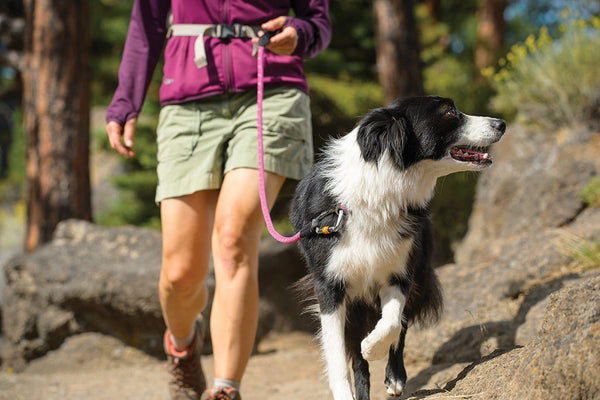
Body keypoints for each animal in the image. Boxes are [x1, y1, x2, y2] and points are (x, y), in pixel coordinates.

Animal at [288, 97, 504, 400]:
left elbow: (391, 324)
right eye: (450, 112)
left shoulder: (400, 272)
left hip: (420, 275)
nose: (502, 123)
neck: (378, 195)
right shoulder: (329, 285)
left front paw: (373, 348)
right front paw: (347, 388)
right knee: (356, 358)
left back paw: (395, 377)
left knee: (399, 328)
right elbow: (337, 354)